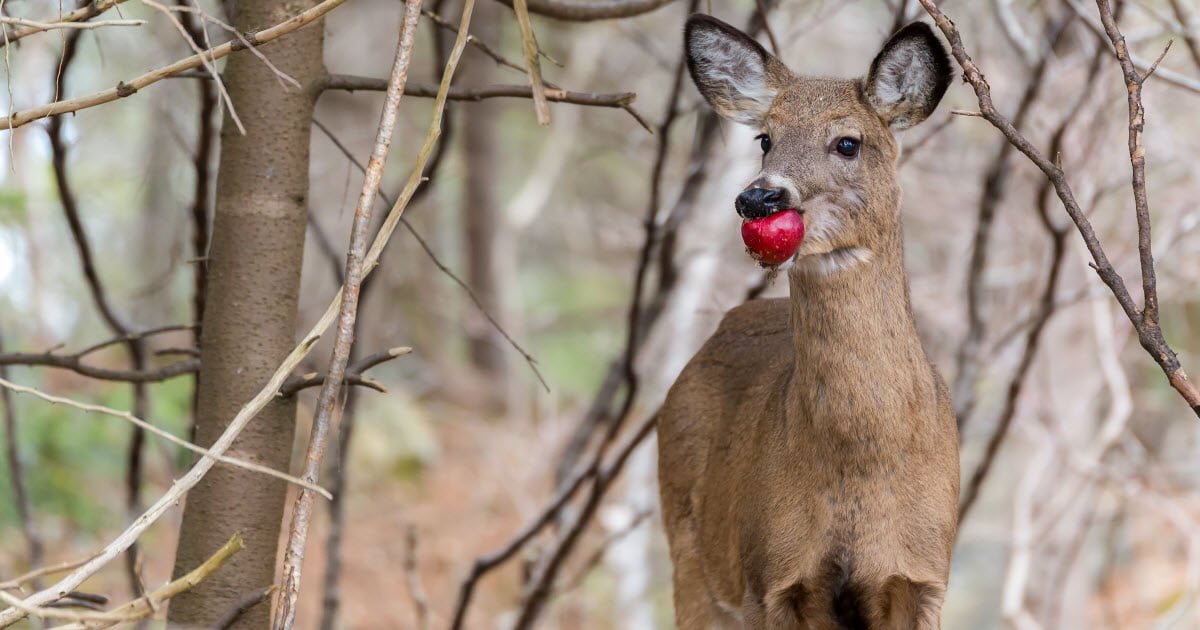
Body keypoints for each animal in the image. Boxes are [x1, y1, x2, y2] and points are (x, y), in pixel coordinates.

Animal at [656, 15, 959, 630]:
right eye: (765, 138)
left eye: (847, 142)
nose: (759, 198)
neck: (861, 463)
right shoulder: (774, 577)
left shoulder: (922, 577)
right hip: (690, 554)